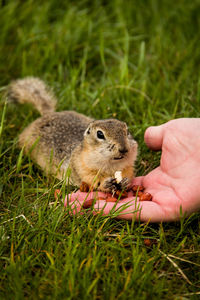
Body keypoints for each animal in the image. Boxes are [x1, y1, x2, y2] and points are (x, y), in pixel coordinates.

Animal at [6, 77, 138, 192]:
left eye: (127, 131)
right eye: (100, 134)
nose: (124, 149)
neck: (112, 166)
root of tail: (48, 114)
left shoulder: (128, 166)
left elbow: (129, 173)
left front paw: (126, 181)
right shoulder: (81, 166)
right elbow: (92, 179)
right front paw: (106, 183)